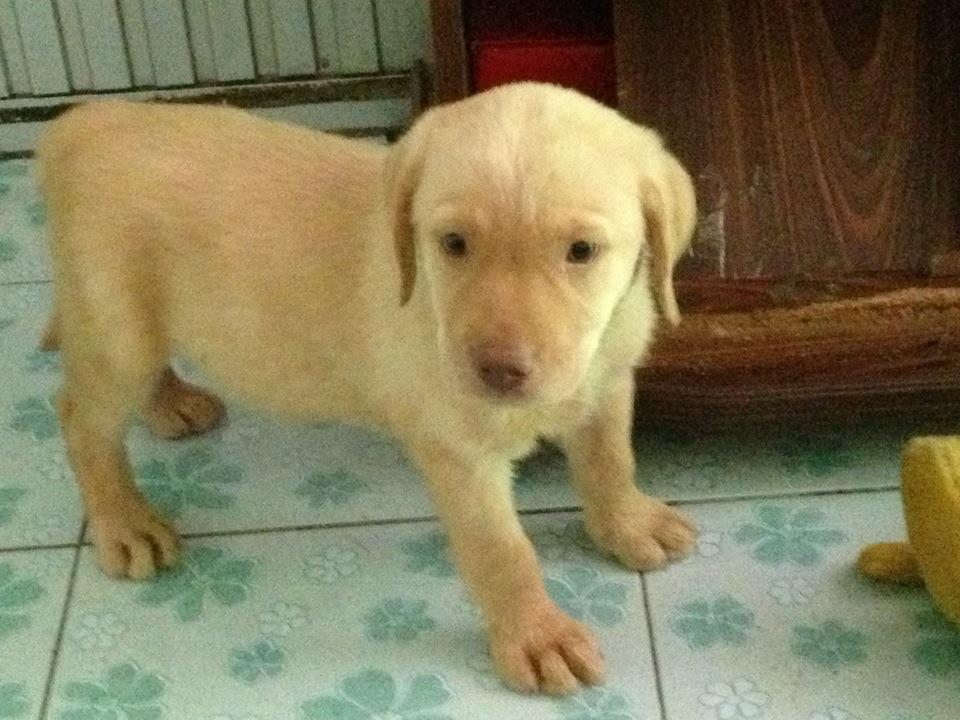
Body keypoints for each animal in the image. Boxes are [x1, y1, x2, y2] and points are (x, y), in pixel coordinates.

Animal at [37, 82, 698, 694]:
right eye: (453, 244)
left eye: (581, 251)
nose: (498, 370)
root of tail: (86, 120)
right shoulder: (460, 453)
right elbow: (501, 552)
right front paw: (537, 636)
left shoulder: (608, 384)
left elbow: (610, 461)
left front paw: (628, 524)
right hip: (115, 329)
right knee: (81, 421)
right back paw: (125, 521)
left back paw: (171, 402)